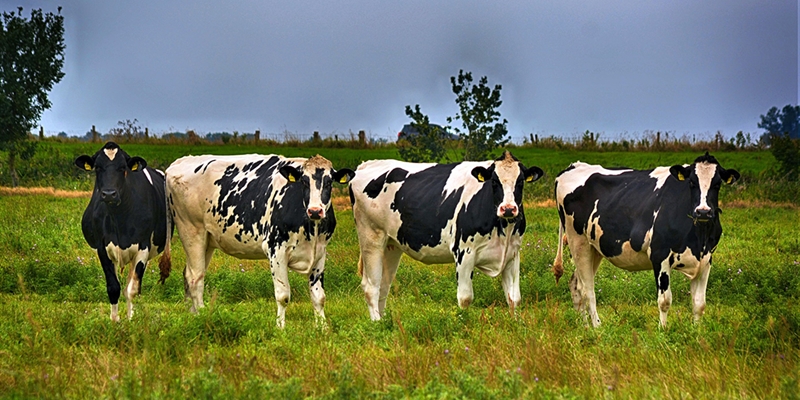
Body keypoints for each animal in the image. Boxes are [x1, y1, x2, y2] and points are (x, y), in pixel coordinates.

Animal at [75, 142, 170, 320]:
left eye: (122, 168)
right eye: (98, 167)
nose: (109, 194)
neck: (119, 217)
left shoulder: (143, 248)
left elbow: (132, 289)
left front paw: (130, 320)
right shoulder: (102, 248)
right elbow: (113, 288)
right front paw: (115, 321)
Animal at [165, 155, 354, 326]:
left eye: (329, 183)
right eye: (304, 182)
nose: (315, 211)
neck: (311, 228)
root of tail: (180, 161)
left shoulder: (320, 252)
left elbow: (319, 297)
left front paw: (322, 329)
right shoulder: (276, 250)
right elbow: (283, 296)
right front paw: (280, 329)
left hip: (207, 240)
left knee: (190, 274)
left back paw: (191, 315)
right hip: (192, 231)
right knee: (195, 278)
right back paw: (201, 316)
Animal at [350, 152, 544, 320]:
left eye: (520, 182)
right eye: (494, 182)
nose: (509, 209)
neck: (503, 228)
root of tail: (366, 165)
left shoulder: (512, 254)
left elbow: (514, 298)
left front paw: (515, 324)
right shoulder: (464, 252)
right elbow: (465, 298)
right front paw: (464, 324)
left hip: (391, 245)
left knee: (383, 285)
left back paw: (385, 322)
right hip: (371, 237)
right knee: (371, 286)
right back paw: (377, 324)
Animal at [552, 153, 740, 328]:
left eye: (717, 184)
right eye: (692, 183)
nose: (703, 211)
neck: (699, 238)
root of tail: (574, 166)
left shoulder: (706, 259)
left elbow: (699, 303)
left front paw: (696, 332)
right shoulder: (659, 255)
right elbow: (665, 301)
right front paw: (663, 331)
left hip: (595, 248)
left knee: (575, 284)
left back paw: (584, 326)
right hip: (578, 241)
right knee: (587, 289)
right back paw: (597, 327)